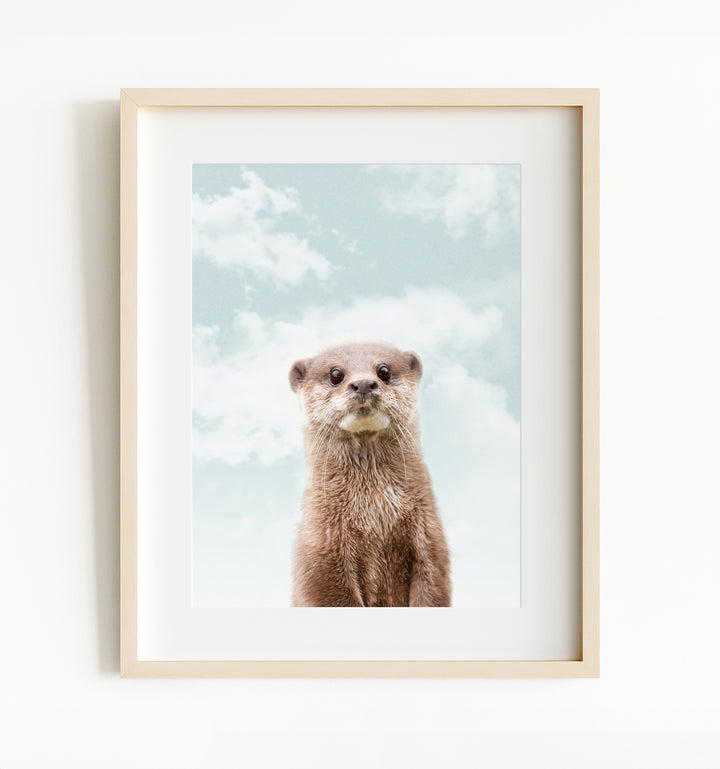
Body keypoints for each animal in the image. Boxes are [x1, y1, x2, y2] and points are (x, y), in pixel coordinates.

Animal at [288, 341, 451, 607]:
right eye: (336, 374)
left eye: (384, 371)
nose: (364, 383)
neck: (374, 515)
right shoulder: (320, 549)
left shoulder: (430, 538)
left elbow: (432, 588)